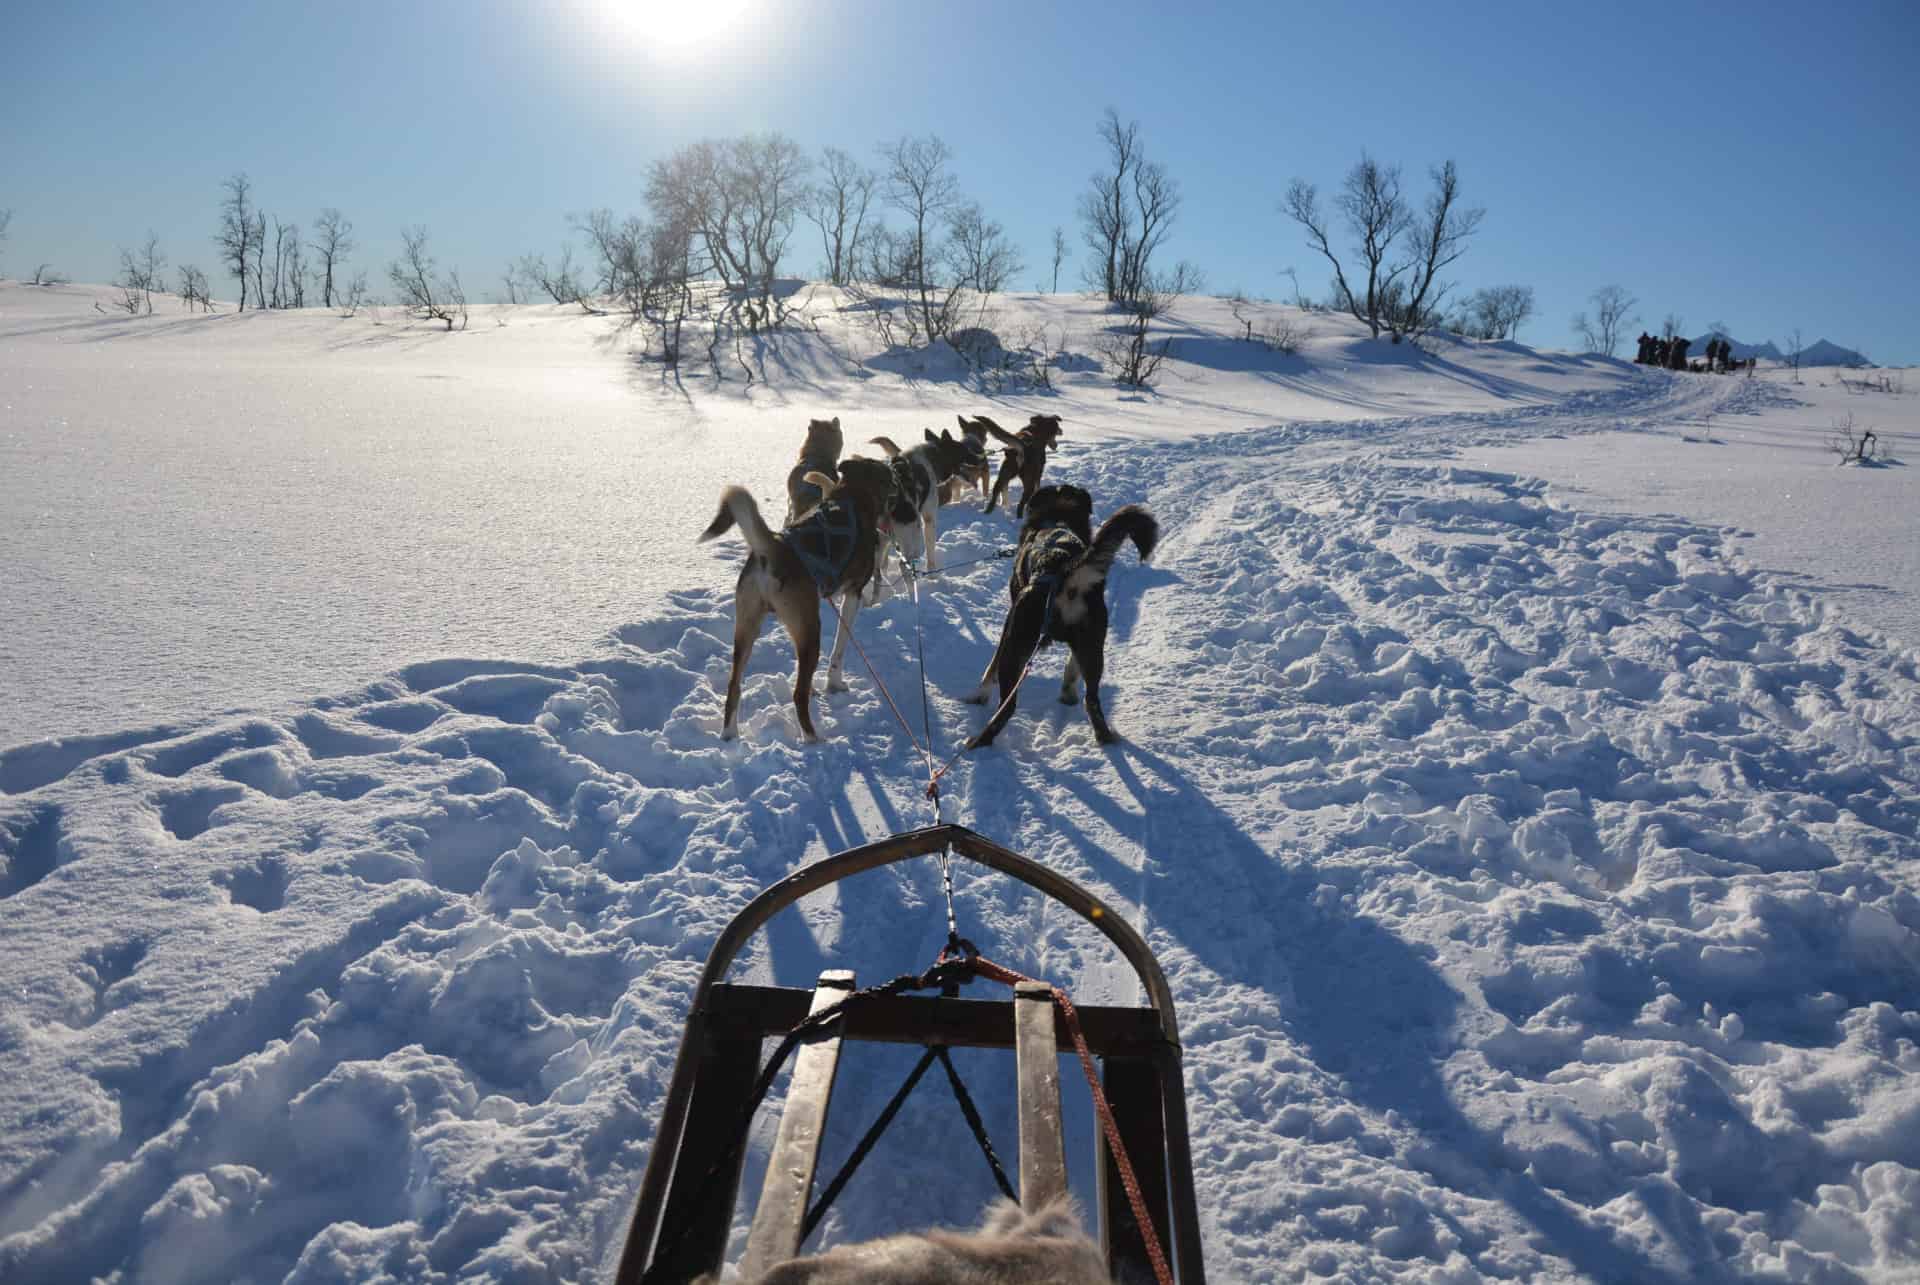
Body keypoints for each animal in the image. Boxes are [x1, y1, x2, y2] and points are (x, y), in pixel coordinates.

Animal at [698, 455, 890, 737]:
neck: (851, 497)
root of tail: (773, 549)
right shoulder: (852, 595)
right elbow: (839, 650)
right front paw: (835, 684)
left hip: (746, 628)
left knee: (734, 687)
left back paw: (729, 734)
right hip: (810, 631)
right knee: (798, 694)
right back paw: (814, 738)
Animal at [960, 480, 1152, 745]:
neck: (1058, 519)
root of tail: (1063, 568)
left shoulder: (1009, 624)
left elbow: (992, 665)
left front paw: (978, 695)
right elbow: (1072, 667)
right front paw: (1068, 692)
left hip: (1016, 646)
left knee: (1007, 707)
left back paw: (979, 741)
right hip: (1092, 647)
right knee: (1092, 700)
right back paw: (1105, 736)